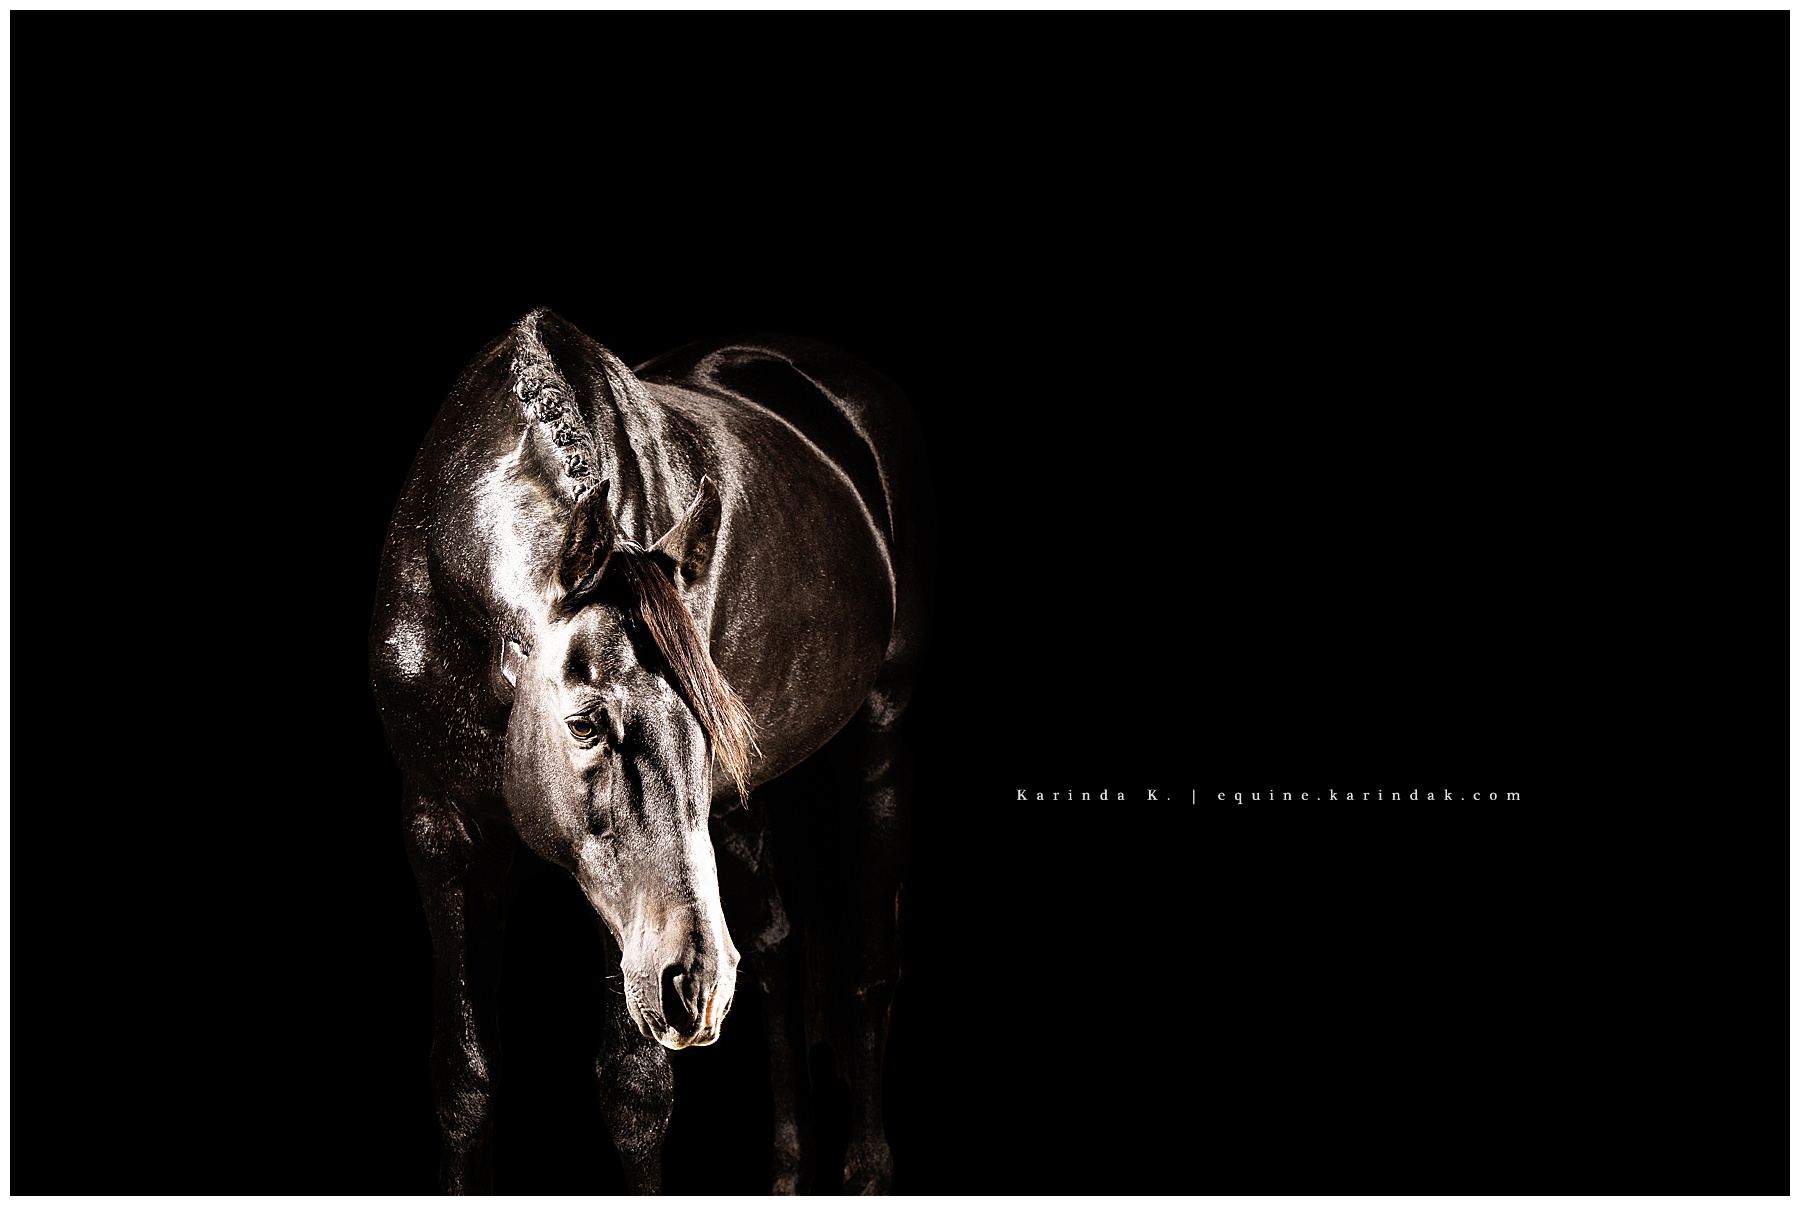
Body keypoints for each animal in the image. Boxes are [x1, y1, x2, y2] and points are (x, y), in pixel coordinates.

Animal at [369, 309, 931, 1194]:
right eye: (585, 724)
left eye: (712, 723)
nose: (694, 982)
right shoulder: (437, 830)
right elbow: (462, 1080)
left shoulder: (619, 896)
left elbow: (634, 1092)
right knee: (775, 948)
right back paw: (787, 1166)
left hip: (881, 733)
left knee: (867, 968)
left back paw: (865, 1170)